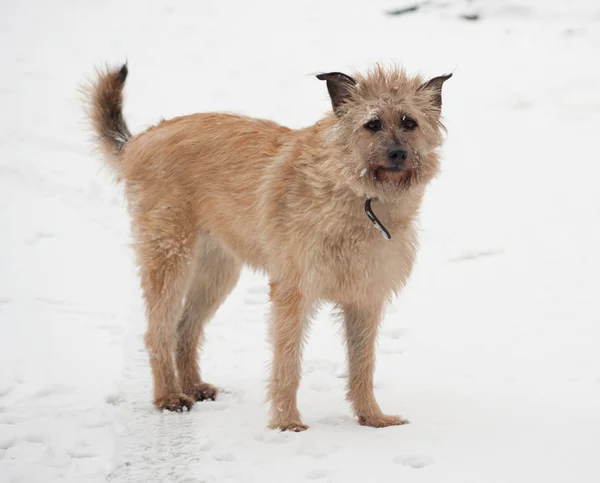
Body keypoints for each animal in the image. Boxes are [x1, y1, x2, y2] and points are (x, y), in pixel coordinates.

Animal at [83, 63, 450, 432]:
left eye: (409, 122)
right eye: (372, 124)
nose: (398, 154)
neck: (358, 195)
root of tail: (140, 140)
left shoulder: (365, 298)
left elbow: (363, 364)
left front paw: (372, 417)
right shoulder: (293, 292)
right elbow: (287, 363)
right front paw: (287, 423)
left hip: (217, 272)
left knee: (186, 328)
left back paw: (194, 385)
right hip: (170, 257)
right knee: (158, 332)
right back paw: (169, 396)